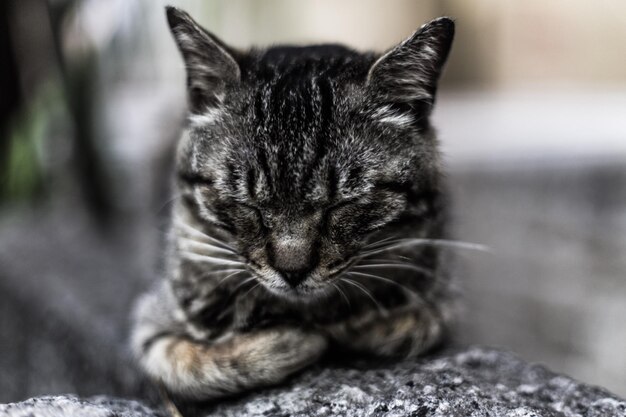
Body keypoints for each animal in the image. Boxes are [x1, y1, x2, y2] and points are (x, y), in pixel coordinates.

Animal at [130, 4, 454, 398]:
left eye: (342, 203)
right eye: (246, 203)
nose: (293, 272)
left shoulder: (441, 296)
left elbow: (417, 323)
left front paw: (357, 325)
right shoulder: (151, 321)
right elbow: (190, 362)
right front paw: (292, 341)